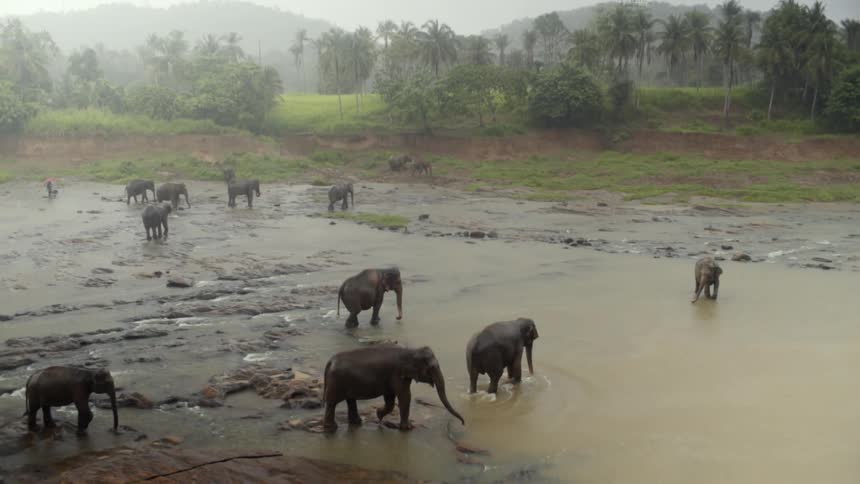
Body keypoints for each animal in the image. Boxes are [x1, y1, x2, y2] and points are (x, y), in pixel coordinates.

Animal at [322, 345, 464, 432]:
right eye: (432, 368)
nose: (463, 423)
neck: (411, 350)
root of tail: (329, 361)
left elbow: (390, 398)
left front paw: (379, 415)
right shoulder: (397, 374)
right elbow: (405, 396)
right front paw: (408, 428)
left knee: (350, 400)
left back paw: (357, 423)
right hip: (336, 383)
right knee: (332, 403)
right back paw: (331, 428)